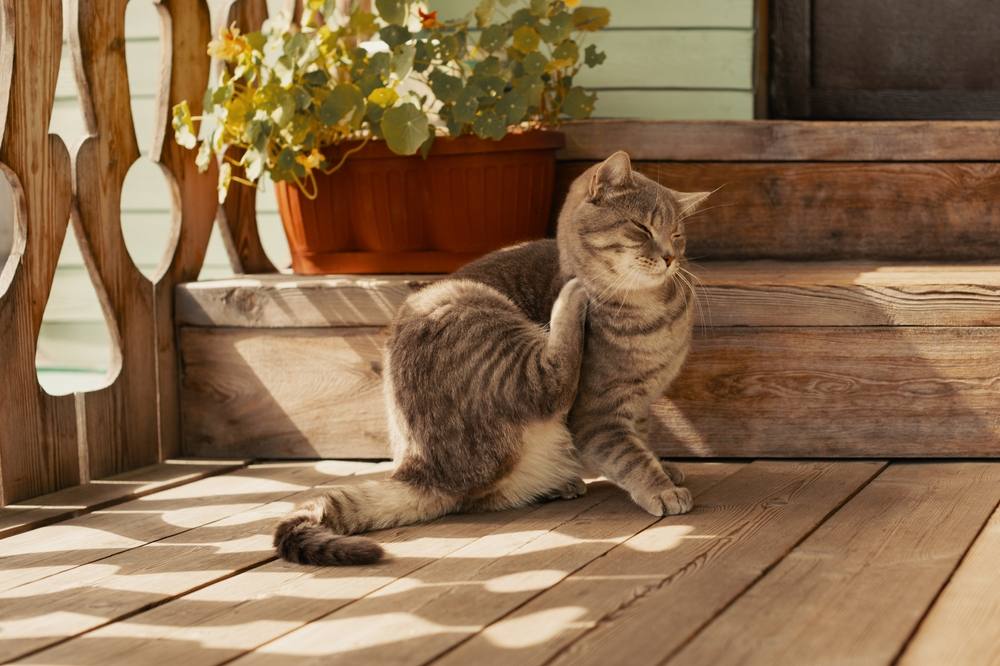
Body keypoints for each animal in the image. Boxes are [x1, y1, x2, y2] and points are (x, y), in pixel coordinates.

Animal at [274, 149, 712, 560]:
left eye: (677, 234)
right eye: (641, 227)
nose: (670, 257)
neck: (655, 312)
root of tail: (422, 470)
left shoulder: (639, 405)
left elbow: (642, 441)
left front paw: (665, 468)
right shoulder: (597, 415)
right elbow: (629, 455)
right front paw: (661, 488)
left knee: (484, 497)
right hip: (468, 307)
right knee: (550, 380)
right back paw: (571, 298)